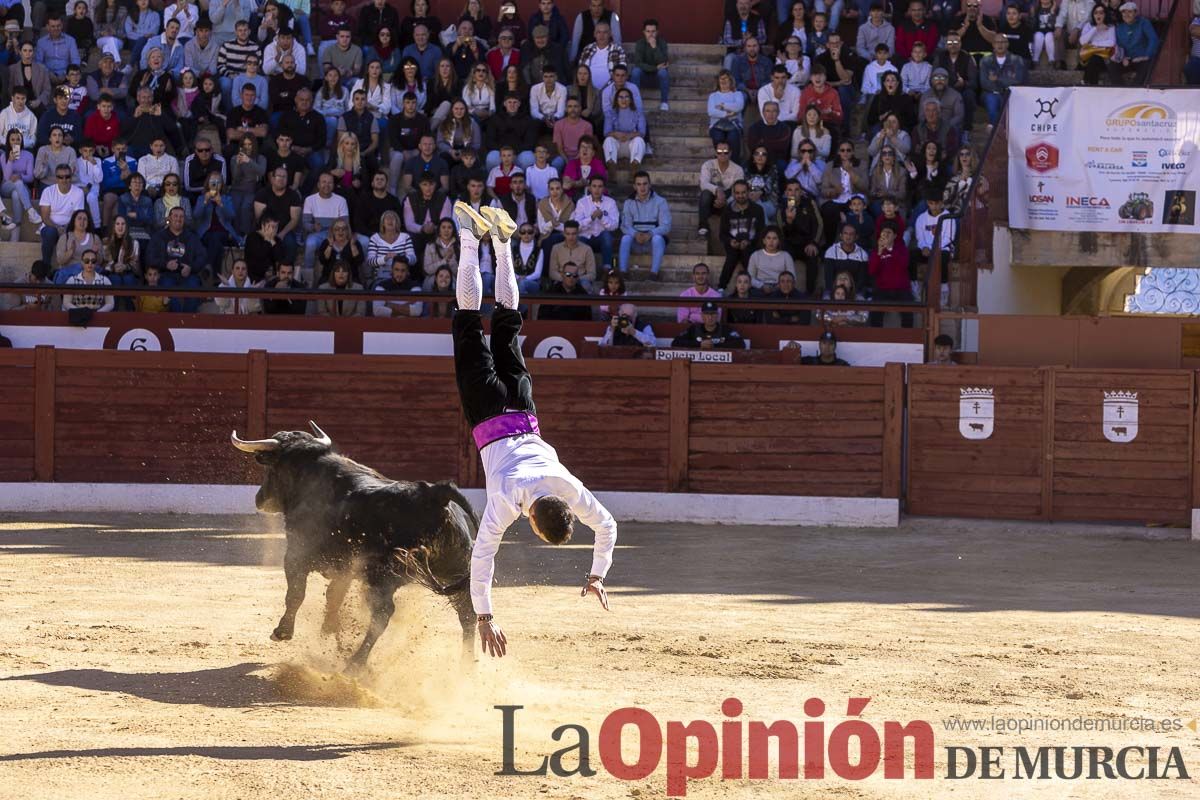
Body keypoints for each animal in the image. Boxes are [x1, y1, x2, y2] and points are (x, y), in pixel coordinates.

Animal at [229, 424, 477, 671]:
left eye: (270, 470)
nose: (259, 499)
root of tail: (435, 494)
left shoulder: (296, 555)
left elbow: (296, 594)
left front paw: (282, 632)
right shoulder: (344, 569)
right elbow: (334, 597)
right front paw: (327, 635)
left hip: (383, 577)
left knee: (382, 613)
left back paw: (354, 664)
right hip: (454, 569)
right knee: (468, 613)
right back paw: (466, 666)